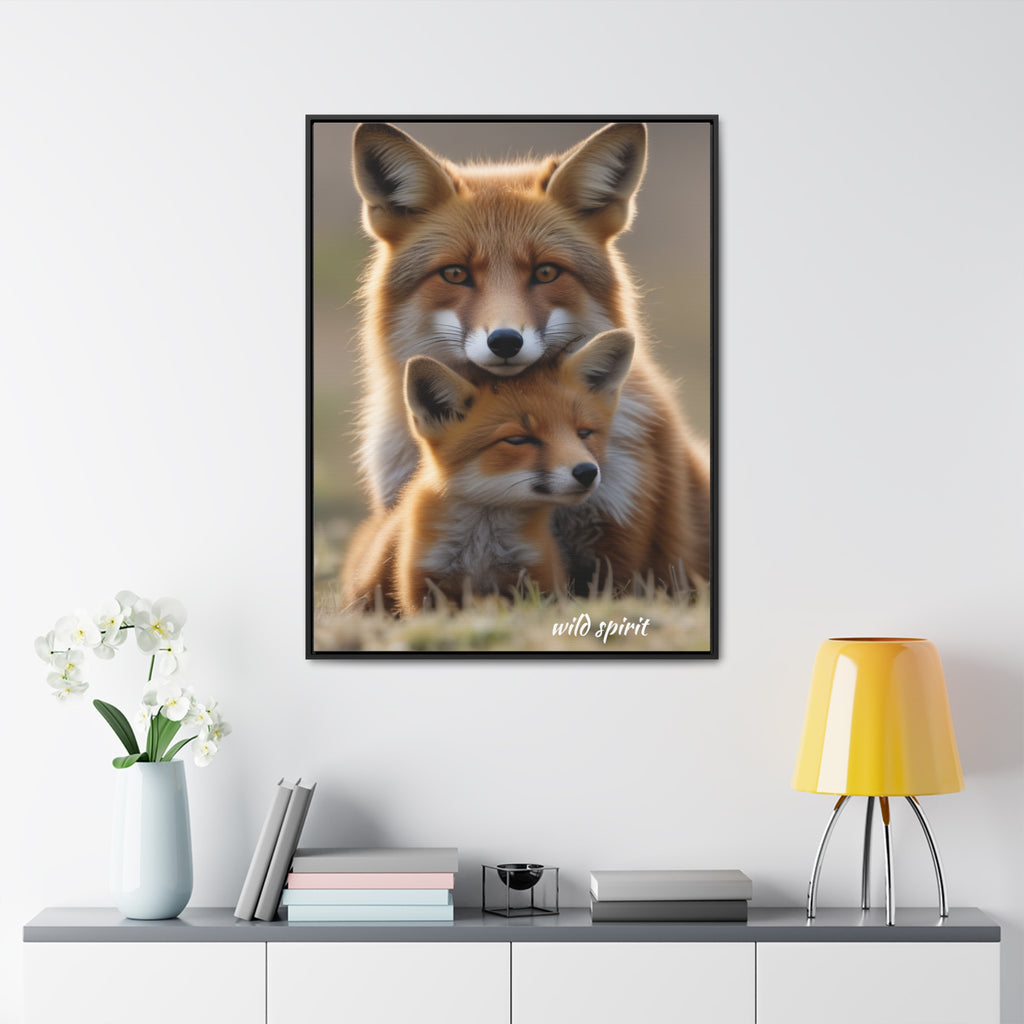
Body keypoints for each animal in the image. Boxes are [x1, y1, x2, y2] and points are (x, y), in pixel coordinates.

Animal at [342, 330, 635, 616]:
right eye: (518, 440)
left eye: (583, 433)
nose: (587, 472)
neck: (482, 550)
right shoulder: (424, 585)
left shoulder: (539, 577)